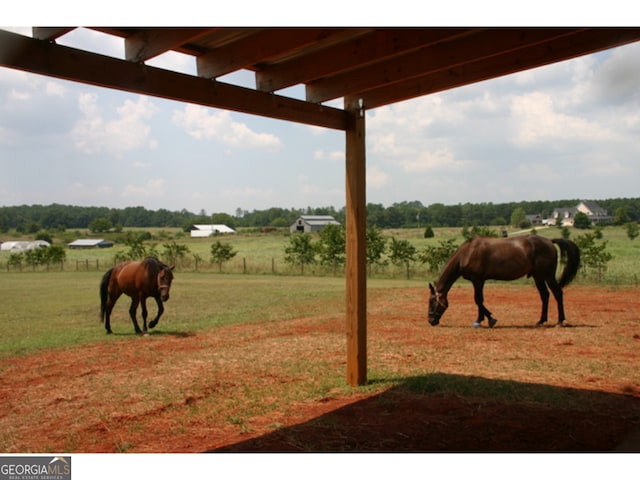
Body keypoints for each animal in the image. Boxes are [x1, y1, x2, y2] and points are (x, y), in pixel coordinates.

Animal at [430, 235, 580, 328]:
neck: (467, 253)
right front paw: (484, 319)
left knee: (557, 294)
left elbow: (478, 300)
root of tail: (549, 241)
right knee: (545, 295)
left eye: (432, 302)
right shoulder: (478, 281)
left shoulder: (478, 280)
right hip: (538, 277)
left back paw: (560, 321)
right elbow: (479, 301)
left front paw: (487, 320)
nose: (431, 320)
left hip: (548, 276)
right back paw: (541, 321)